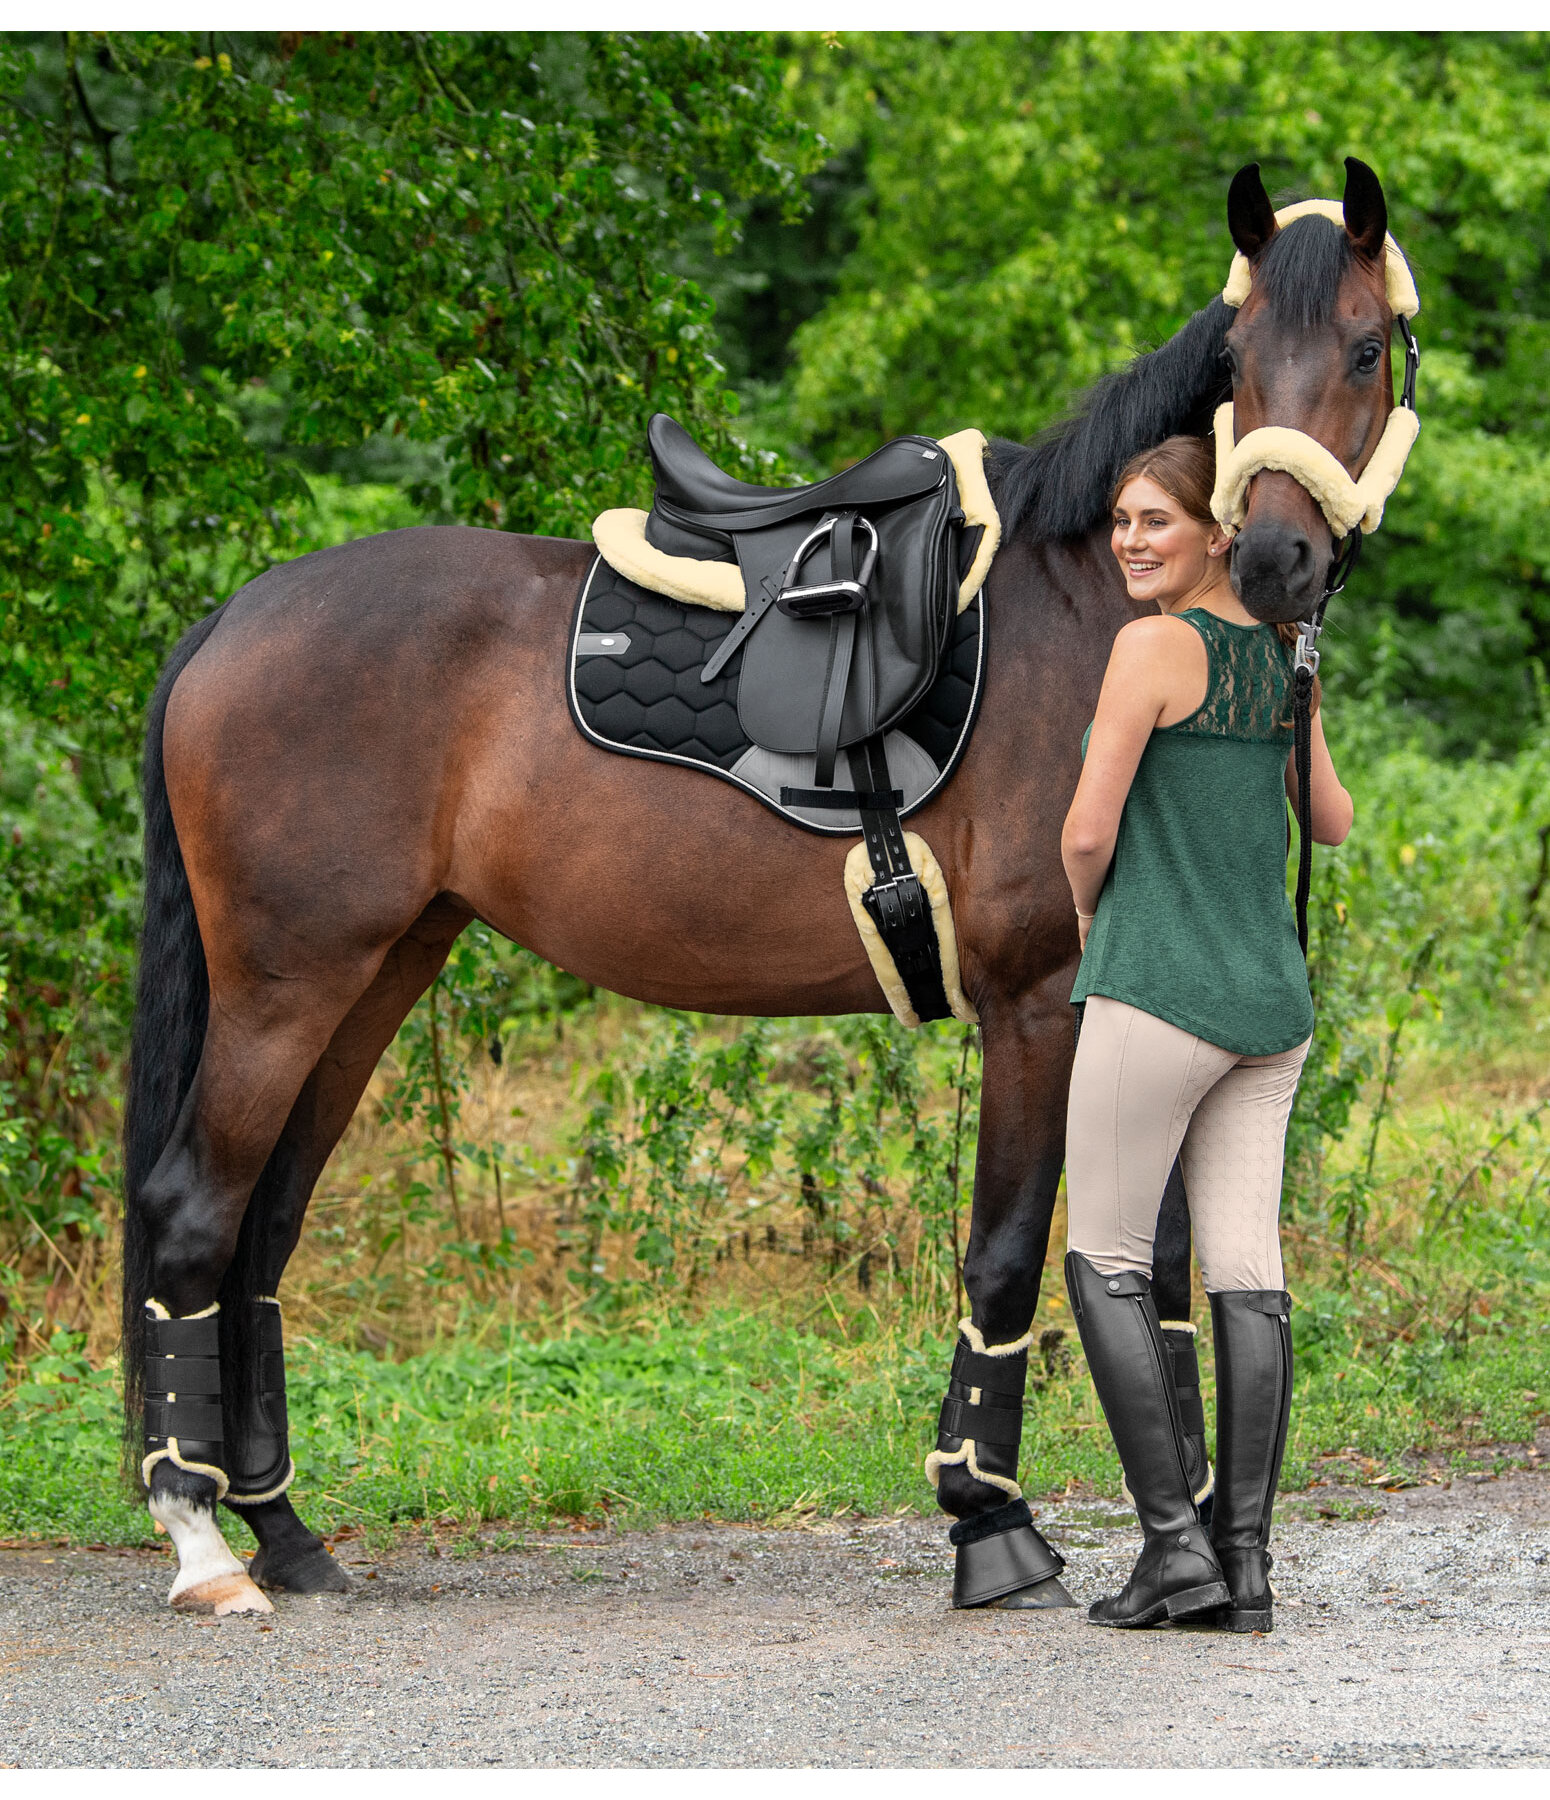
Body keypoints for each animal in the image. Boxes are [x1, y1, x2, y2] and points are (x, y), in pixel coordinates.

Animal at [120, 158, 1404, 1620]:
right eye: (1238, 360)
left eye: (1364, 347)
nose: (1272, 561)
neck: (1093, 609)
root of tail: (234, 619)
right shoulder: (1038, 1009)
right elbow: (1008, 1251)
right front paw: (989, 1522)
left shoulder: (1139, 1013)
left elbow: (1165, 1270)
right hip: (287, 987)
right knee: (192, 1215)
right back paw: (206, 1549)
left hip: (375, 973)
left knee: (261, 1230)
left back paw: (286, 1533)